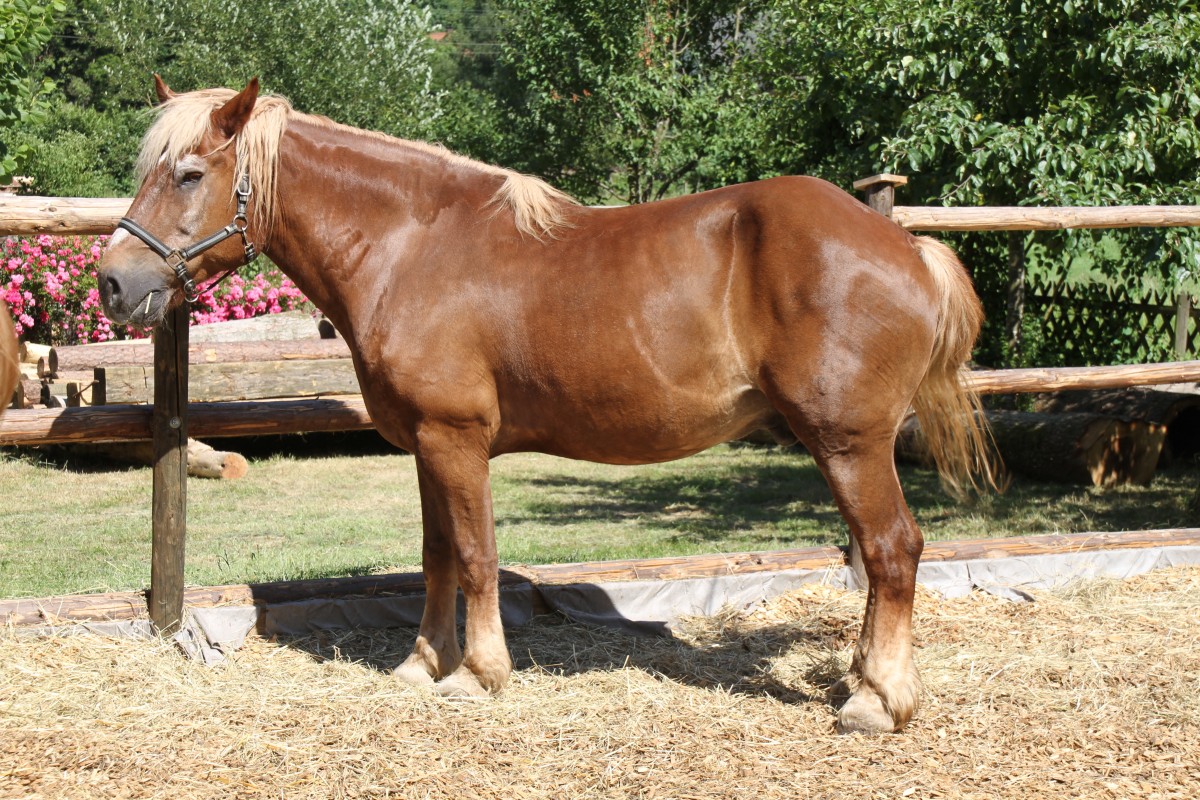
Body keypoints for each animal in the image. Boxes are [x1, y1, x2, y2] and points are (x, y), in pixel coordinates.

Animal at [98, 77, 993, 734]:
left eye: (188, 174)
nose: (112, 282)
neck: (411, 246)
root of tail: (904, 244)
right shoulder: (425, 445)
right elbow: (438, 556)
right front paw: (421, 664)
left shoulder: (456, 439)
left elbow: (477, 556)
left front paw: (478, 675)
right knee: (881, 556)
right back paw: (861, 680)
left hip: (848, 441)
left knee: (893, 550)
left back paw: (877, 701)